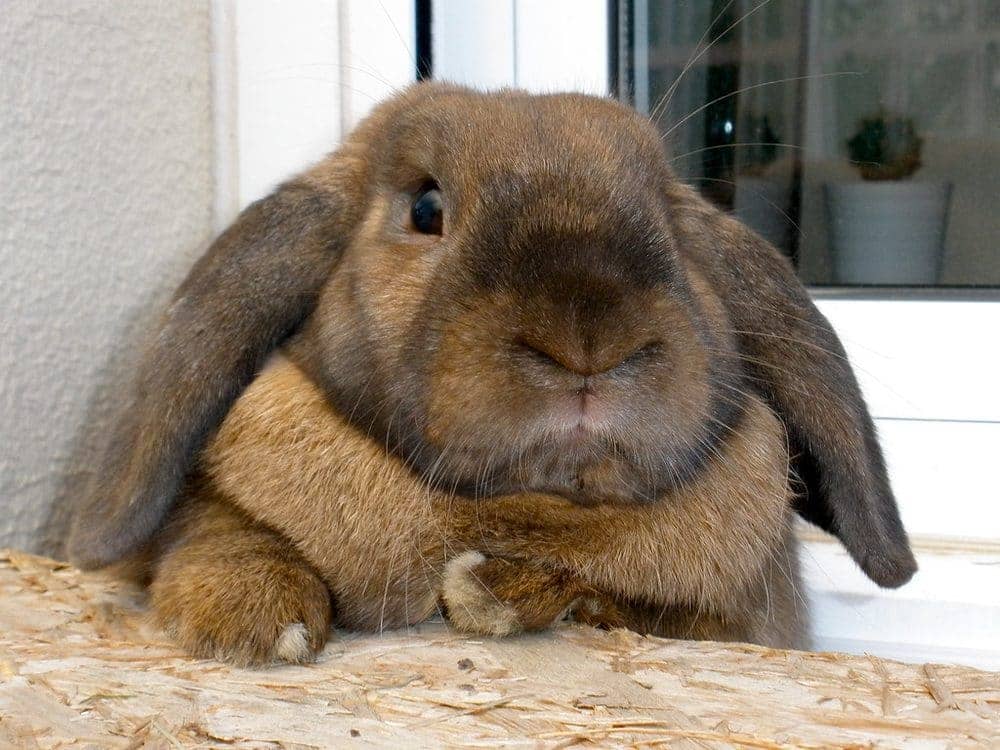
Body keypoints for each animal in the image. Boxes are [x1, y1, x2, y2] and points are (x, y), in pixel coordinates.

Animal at [66, 82, 916, 666]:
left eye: (672, 224)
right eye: (425, 209)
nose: (587, 337)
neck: (511, 509)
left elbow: (640, 609)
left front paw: (497, 591)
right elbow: (217, 525)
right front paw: (253, 617)